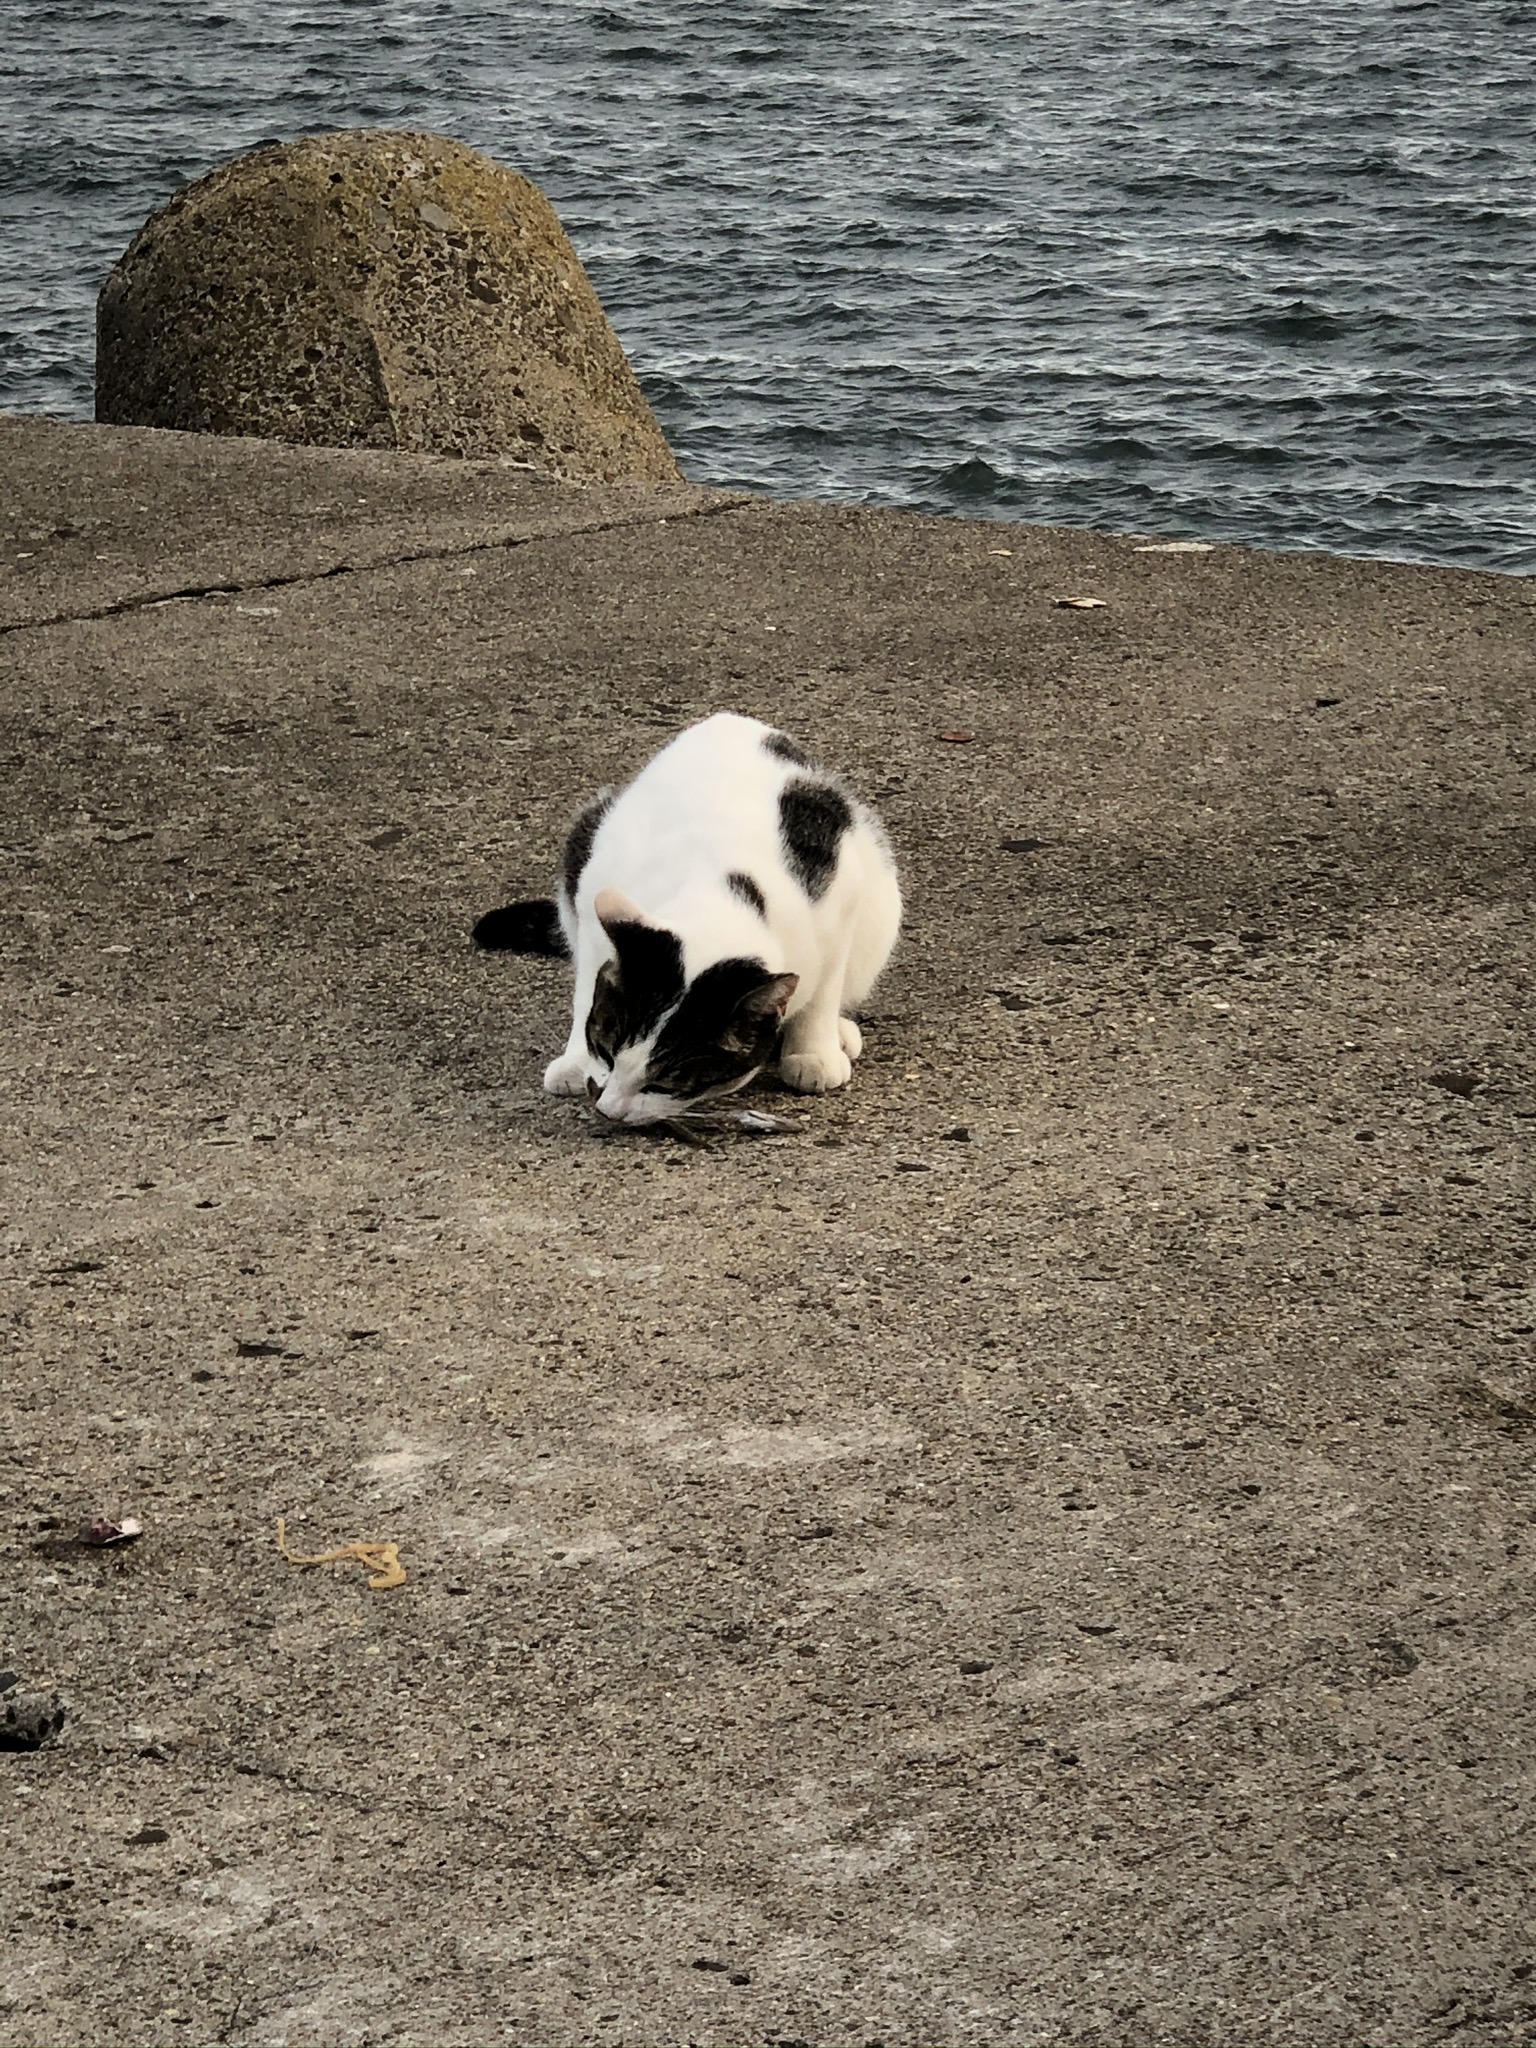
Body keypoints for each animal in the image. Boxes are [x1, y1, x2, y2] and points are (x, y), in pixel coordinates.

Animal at [473, 716, 901, 1138]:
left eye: (665, 1084)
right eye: (606, 1051)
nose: (609, 1111)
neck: (712, 887)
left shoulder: (841, 894)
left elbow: (824, 990)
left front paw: (813, 1050)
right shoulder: (594, 896)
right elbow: (586, 987)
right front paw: (577, 1057)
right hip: (587, 833)